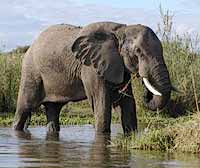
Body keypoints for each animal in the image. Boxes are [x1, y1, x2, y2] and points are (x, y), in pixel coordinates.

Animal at [12, 21, 172, 135]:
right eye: (138, 52)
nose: (146, 92)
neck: (121, 30)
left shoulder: (118, 65)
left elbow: (126, 102)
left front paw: (131, 134)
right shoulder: (91, 67)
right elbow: (101, 102)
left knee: (53, 110)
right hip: (31, 71)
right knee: (24, 107)